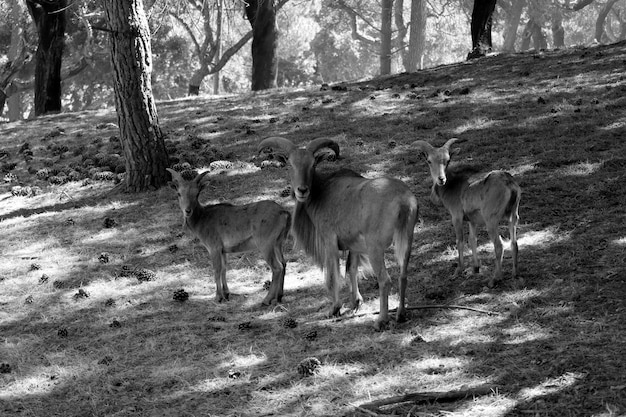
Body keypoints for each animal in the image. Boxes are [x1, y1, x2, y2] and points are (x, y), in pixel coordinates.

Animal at [166, 167, 292, 304]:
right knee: (284, 263)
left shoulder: (214, 246)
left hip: (265, 243)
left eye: (197, 194)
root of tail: (284, 212)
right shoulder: (223, 250)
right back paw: (279, 296)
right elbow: (224, 268)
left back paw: (267, 299)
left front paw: (218, 297)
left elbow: (216, 269)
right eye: (179, 194)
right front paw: (226, 294)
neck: (202, 220)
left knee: (277, 267)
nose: (188, 211)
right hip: (278, 242)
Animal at [256, 136, 416, 328]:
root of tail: (403, 202)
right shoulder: (354, 245)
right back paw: (400, 314)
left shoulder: (329, 240)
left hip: (375, 248)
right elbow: (351, 269)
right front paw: (356, 302)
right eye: (291, 164)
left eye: (312, 164)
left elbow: (333, 275)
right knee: (403, 275)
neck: (322, 191)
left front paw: (334, 308)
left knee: (385, 280)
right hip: (407, 239)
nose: (302, 190)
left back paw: (381, 320)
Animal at [412, 138, 520, 288]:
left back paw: (494, 279)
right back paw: (515, 273)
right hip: (513, 216)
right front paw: (475, 268)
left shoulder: (456, 216)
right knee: (514, 243)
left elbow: (460, 241)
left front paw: (458, 271)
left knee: (499, 245)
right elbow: (472, 240)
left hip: (491, 220)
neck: (453, 187)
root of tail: (510, 185)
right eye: (429, 161)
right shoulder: (472, 220)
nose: (441, 179)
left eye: (448, 160)